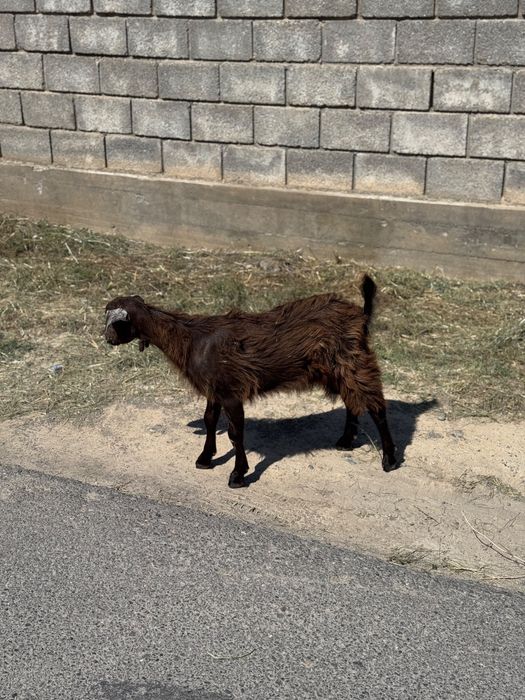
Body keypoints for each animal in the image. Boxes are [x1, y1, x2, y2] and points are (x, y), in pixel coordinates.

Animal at [104, 275, 398, 488]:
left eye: (114, 323)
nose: (106, 339)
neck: (191, 339)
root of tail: (360, 313)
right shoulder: (215, 389)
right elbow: (210, 420)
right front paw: (205, 458)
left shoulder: (231, 391)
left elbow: (235, 434)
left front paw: (238, 475)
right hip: (337, 369)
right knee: (352, 400)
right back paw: (346, 441)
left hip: (354, 361)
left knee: (375, 405)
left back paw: (389, 459)